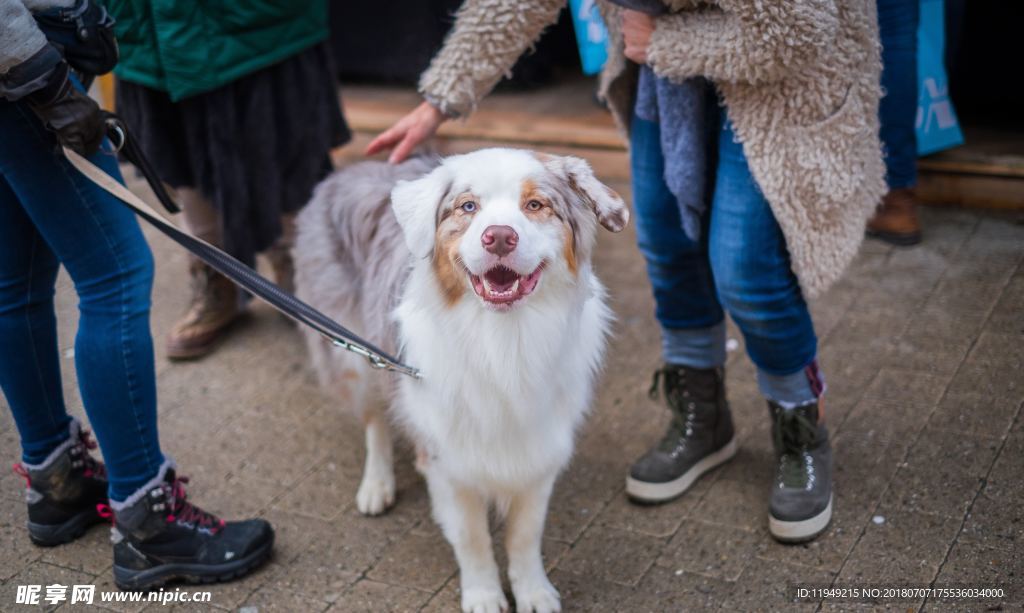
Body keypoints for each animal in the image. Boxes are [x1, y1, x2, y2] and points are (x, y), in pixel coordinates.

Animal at [292, 148, 626, 613]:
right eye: (468, 206)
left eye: (535, 204)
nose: (499, 237)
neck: (504, 340)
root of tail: (350, 169)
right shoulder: (447, 458)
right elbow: (471, 537)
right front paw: (484, 594)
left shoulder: (540, 446)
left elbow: (525, 534)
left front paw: (533, 591)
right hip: (355, 355)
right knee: (375, 420)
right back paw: (376, 484)